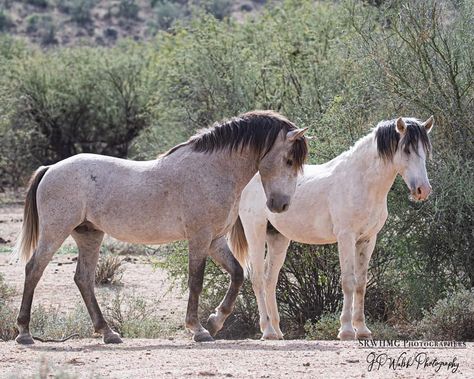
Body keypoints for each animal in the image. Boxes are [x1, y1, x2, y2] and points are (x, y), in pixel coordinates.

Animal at [12, 110, 310, 344]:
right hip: (56, 231)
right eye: (288, 160)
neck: (213, 169)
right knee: (34, 269)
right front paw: (198, 329)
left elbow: (237, 274)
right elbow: (196, 281)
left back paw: (108, 333)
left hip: (89, 235)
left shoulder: (215, 240)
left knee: (83, 279)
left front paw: (215, 321)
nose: (280, 204)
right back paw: (24, 333)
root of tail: (50, 168)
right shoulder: (200, 237)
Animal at [231, 116, 436, 342]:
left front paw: (362, 330)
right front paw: (346, 330)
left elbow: (361, 284)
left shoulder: (368, 239)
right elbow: (348, 281)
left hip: (278, 238)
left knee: (270, 280)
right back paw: (267, 331)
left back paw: (277, 330)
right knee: (258, 278)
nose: (423, 190)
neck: (361, 181)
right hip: (255, 232)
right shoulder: (346, 237)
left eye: (425, 150)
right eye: (407, 150)